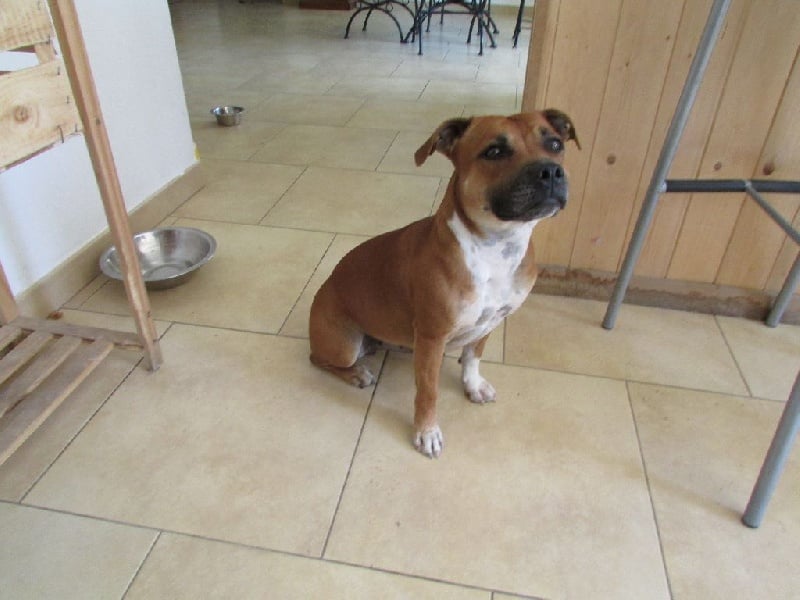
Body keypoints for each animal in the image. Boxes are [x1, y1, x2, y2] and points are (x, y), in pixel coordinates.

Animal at [309, 110, 579, 458]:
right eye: (494, 151)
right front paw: (427, 432)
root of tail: (325, 286)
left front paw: (473, 384)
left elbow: (473, 358)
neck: (494, 250)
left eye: (555, 144)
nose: (550, 171)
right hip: (343, 345)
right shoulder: (431, 337)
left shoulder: (490, 321)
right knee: (319, 359)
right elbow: (428, 391)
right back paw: (356, 373)